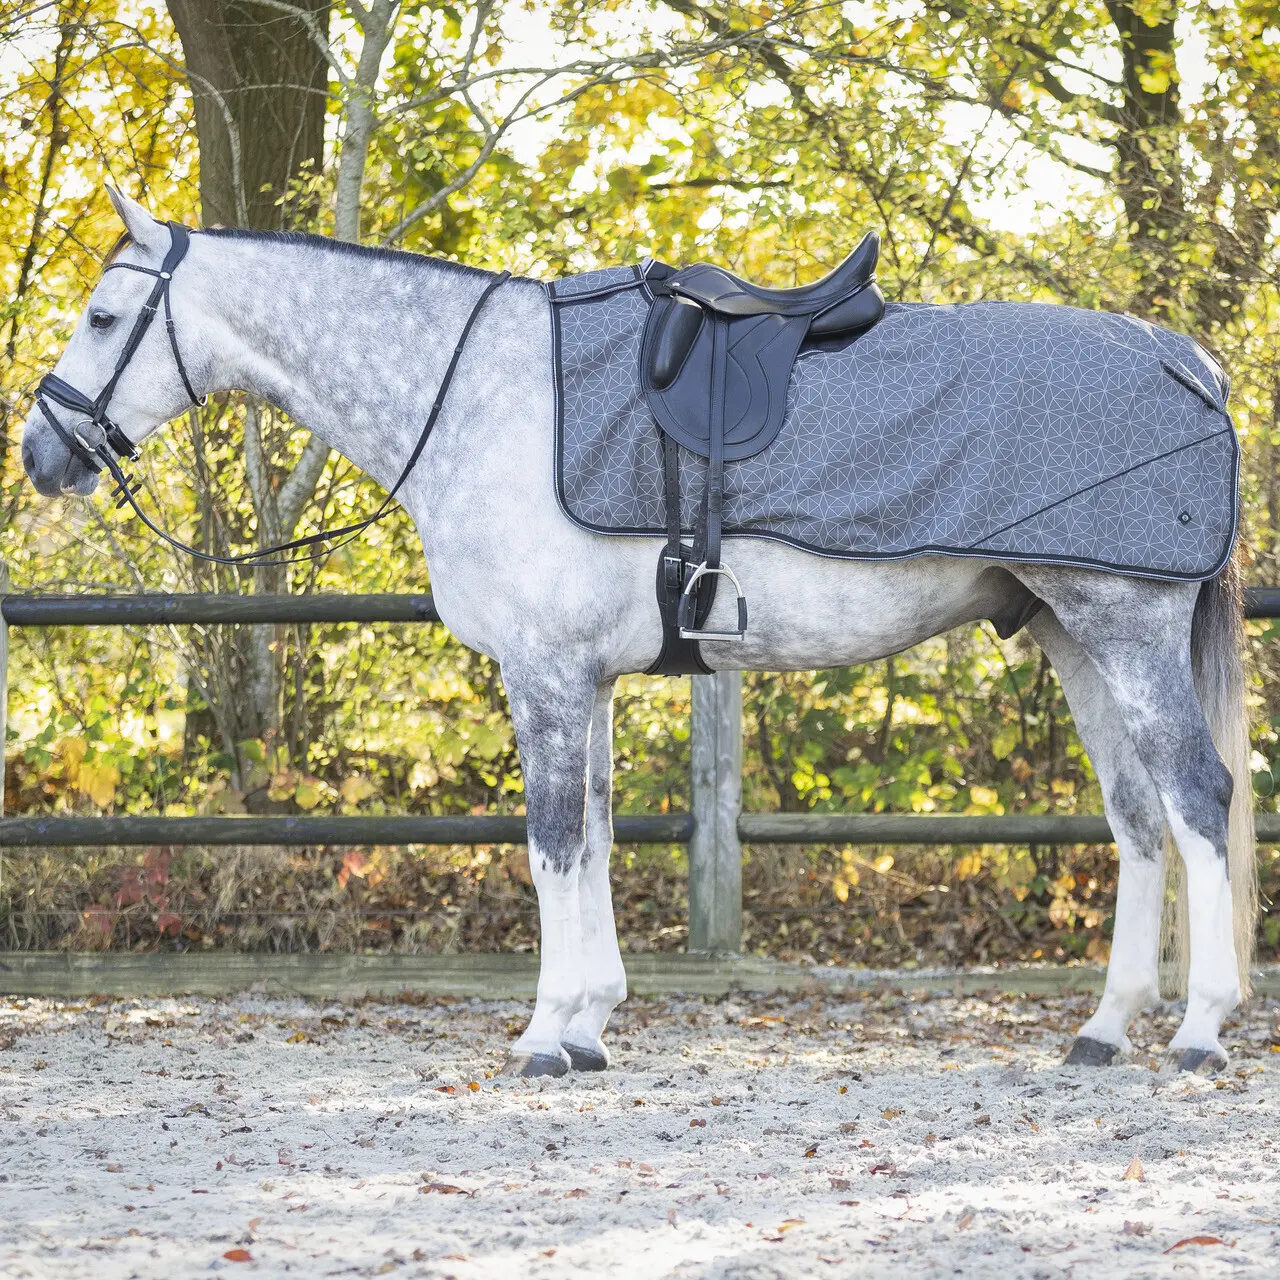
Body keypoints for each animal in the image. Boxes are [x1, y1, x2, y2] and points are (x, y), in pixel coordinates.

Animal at [21, 187, 1257, 1077]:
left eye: (100, 317)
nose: (41, 455)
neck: (478, 396)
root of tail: (1184, 358)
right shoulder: (589, 680)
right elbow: (602, 835)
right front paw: (590, 1024)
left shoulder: (544, 675)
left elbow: (552, 843)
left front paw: (542, 1036)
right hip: (1071, 636)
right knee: (1136, 816)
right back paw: (1103, 1029)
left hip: (1124, 627)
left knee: (1196, 798)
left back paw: (1199, 1029)